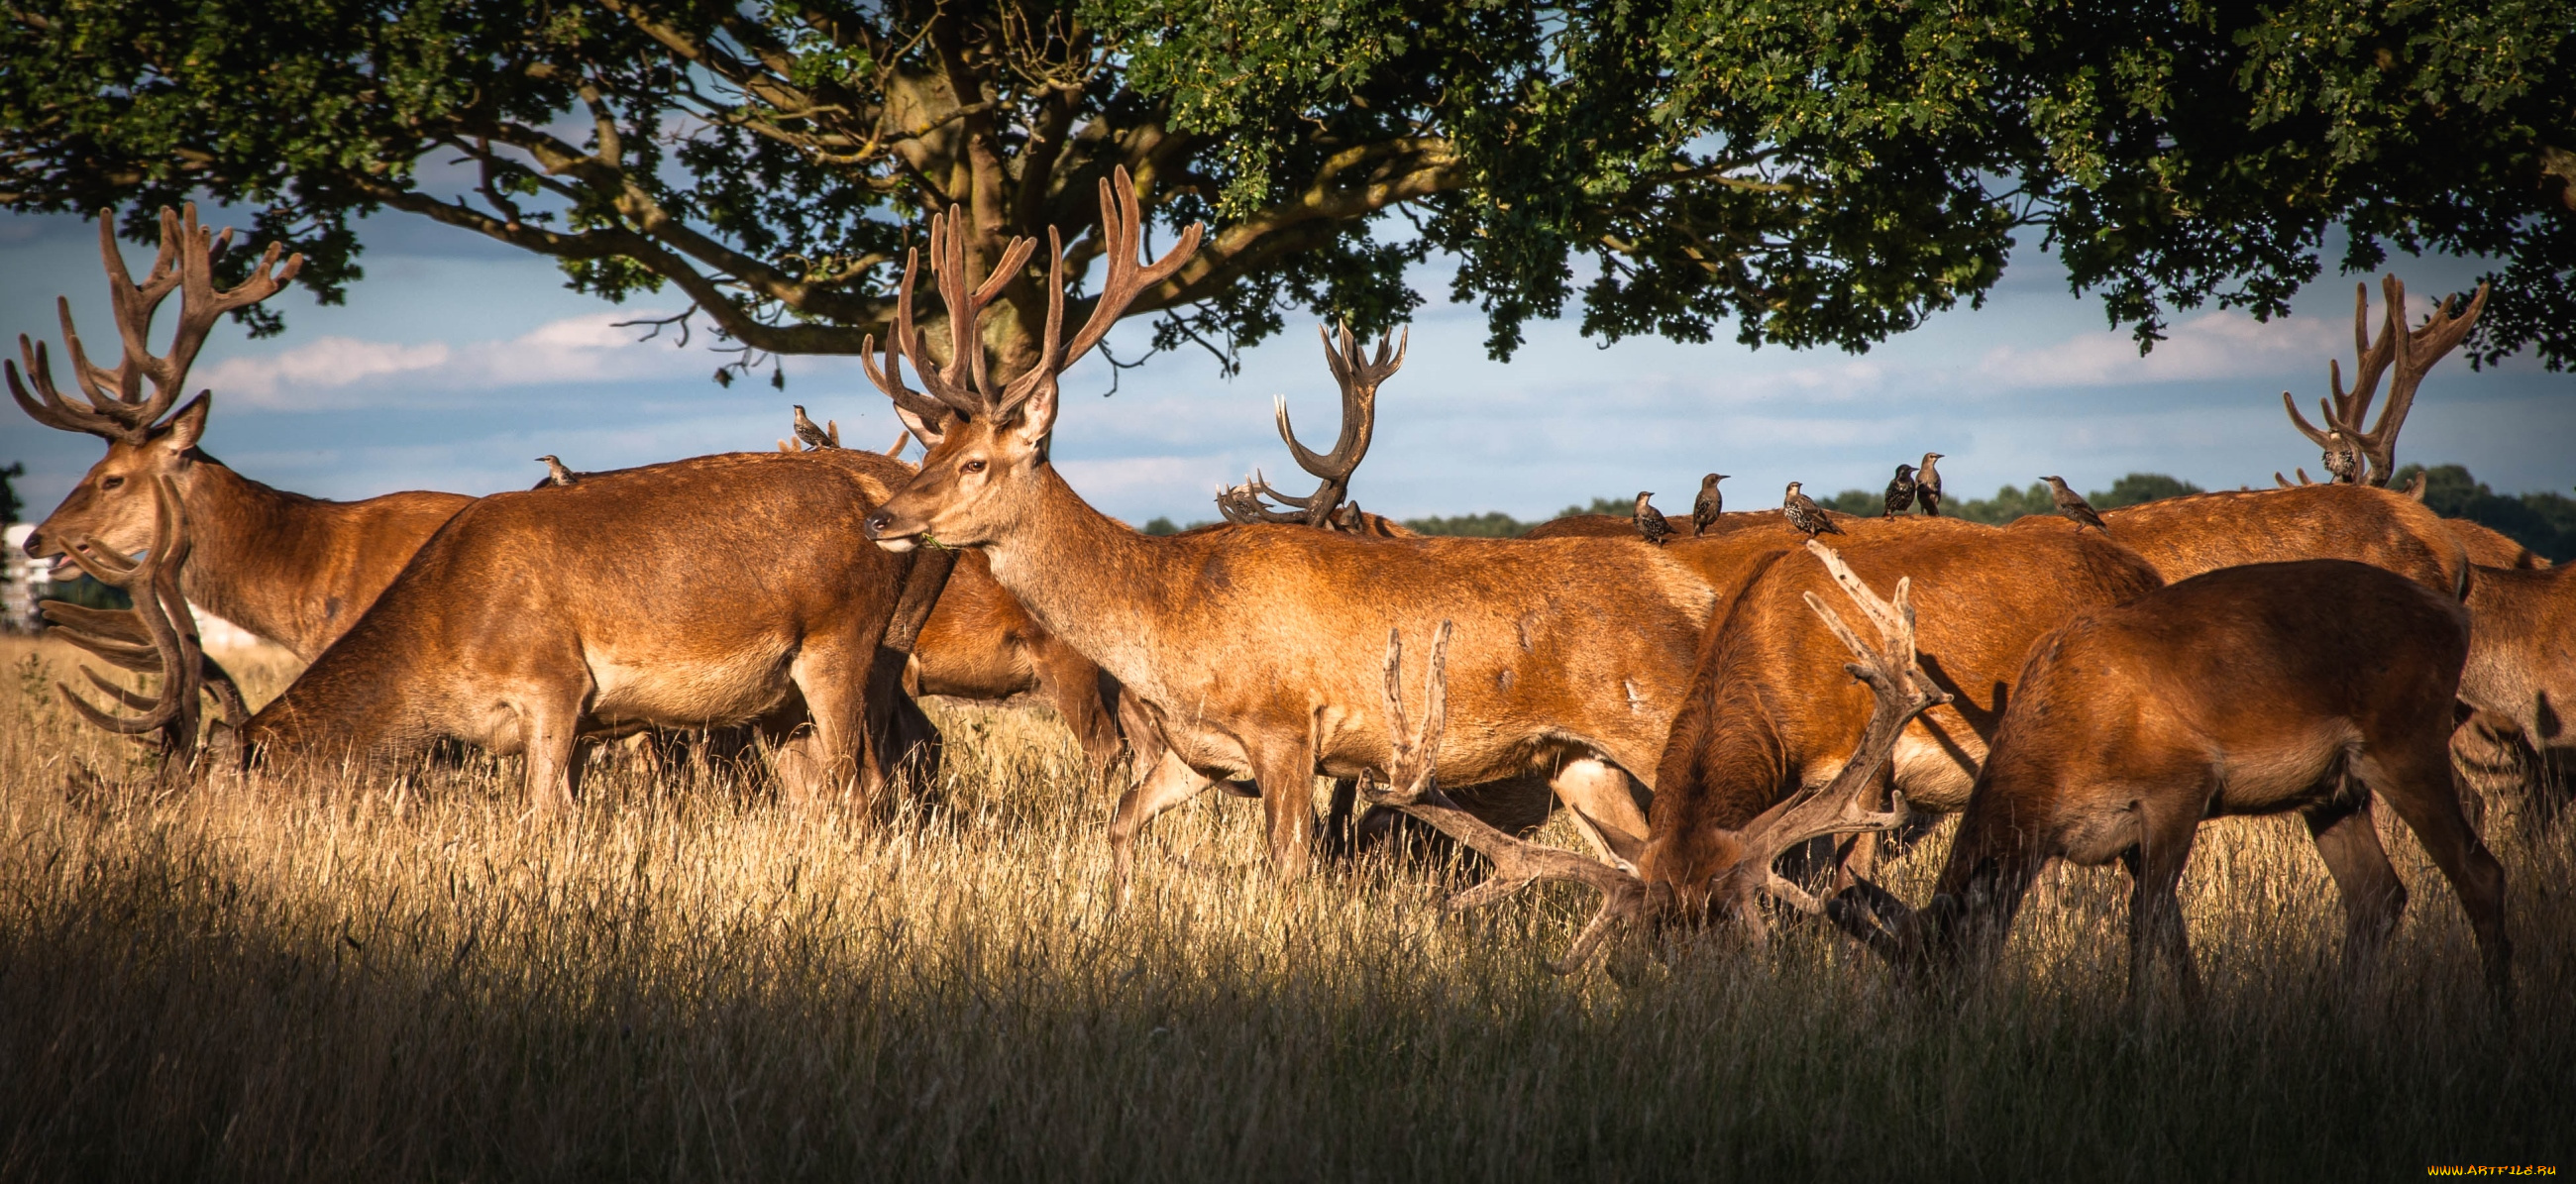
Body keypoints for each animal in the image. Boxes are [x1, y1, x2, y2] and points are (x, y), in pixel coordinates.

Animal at [1834, 558, 2514, 1004]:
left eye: (1941, 969)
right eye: (1900, 981)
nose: (1932, 1038)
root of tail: (2458, 614)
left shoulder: (2178, 786)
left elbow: (2145, 920)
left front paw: (2137, 1029)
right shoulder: (2125, 835)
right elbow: (2171, 929)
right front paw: (2194, 1024)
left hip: (2407, 744)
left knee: (2481, 871)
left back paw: (2499, 1027)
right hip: (2333, 791)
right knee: (2378, 895)